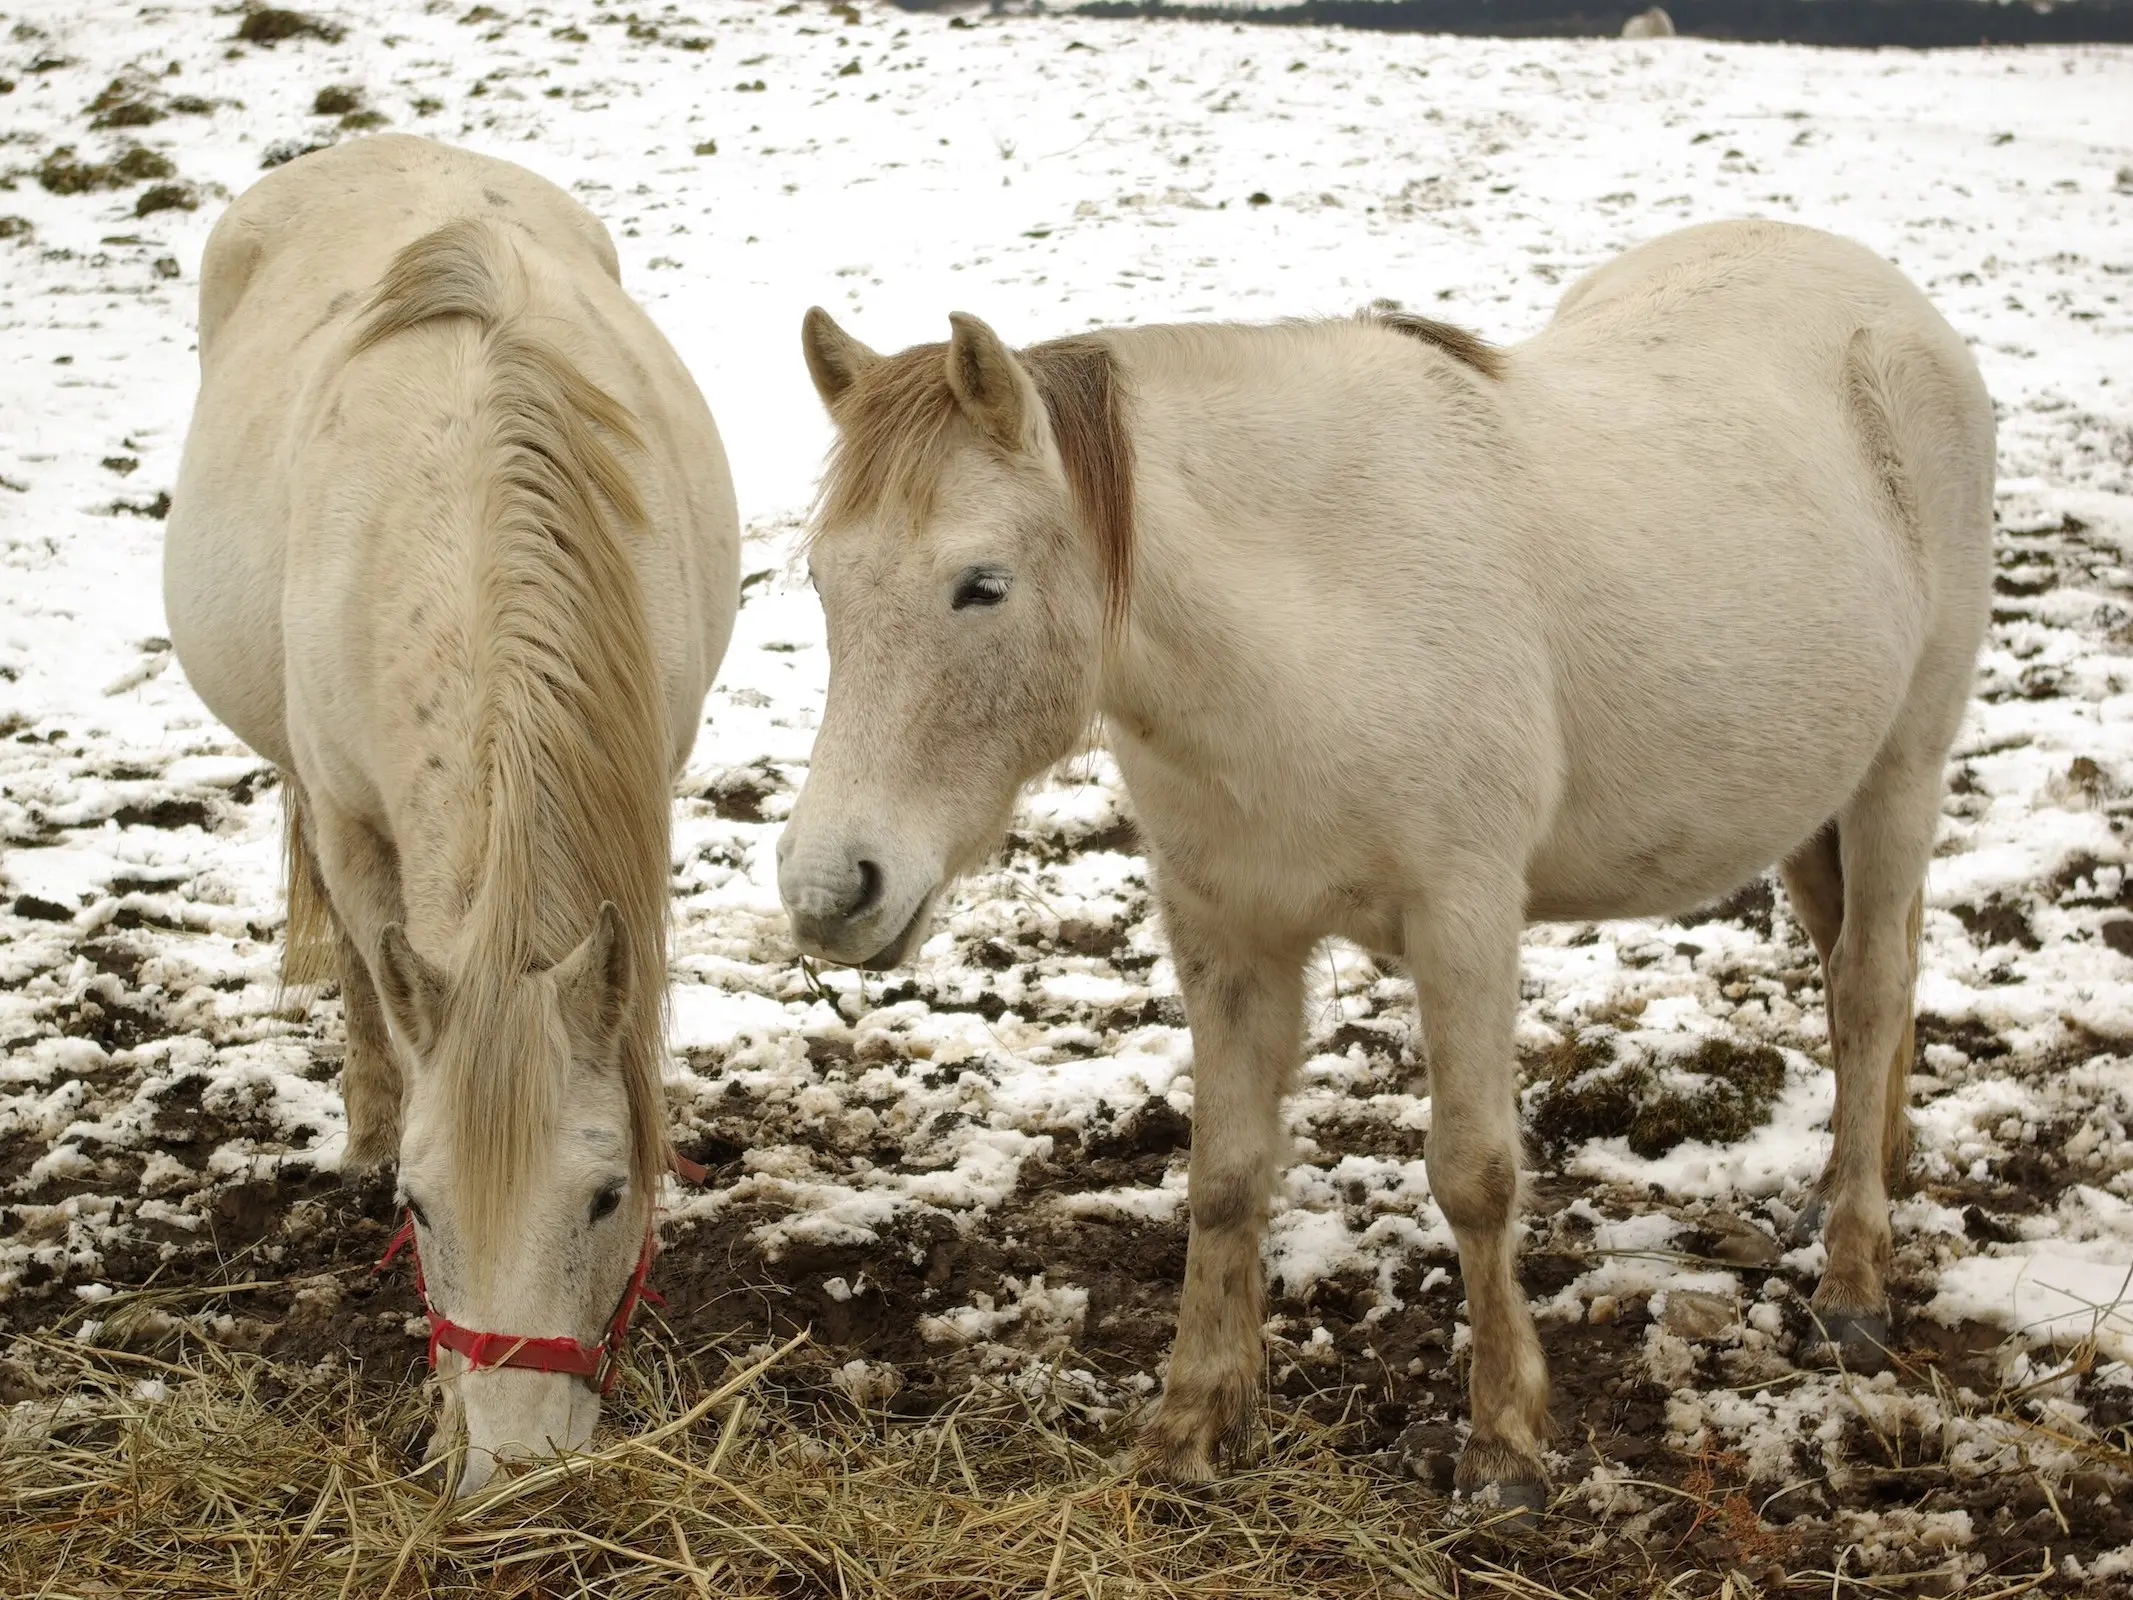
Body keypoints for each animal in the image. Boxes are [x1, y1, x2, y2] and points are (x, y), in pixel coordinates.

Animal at [164, 137, 742, 1501]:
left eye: (605, 1197)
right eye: (422, 1212)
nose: (516, 1474)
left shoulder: (656, 769)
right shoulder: (354, 817)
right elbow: (381, 974)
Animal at [784, 219, 1996, 1510]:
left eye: (982, 586)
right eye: (821, 582)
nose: (827, 889)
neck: (1315, 612)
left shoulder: (1463, 916)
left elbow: (1474, 1173)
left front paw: (1503, 1444)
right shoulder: (1227, 929)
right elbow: (1225, 1175)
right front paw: (1190, 1424)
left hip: (1900, 765)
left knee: (1868, 988)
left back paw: (1854, 1280)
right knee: (1863, 968)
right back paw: (1853, 1178)